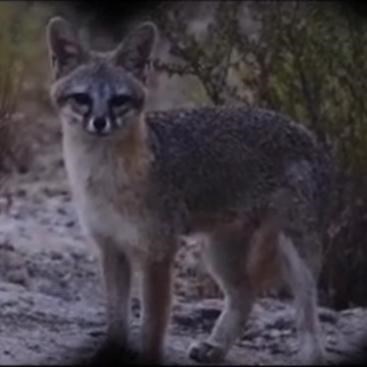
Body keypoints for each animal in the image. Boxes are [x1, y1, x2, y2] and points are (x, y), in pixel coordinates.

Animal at [46, 16, 334, 366]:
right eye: (82, 98)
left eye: (119, 100)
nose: (100, 122)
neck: (105, 179)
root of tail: (308, 133)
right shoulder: (111, 248)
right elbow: (116, 318)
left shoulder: (157, 252)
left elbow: (152, 326)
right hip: (219, 253)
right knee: (245, 294)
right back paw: (216, 347)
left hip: (297, 258)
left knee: (310, 324)